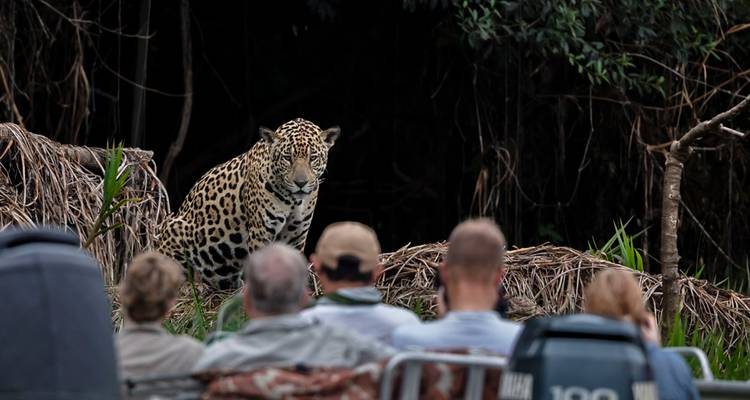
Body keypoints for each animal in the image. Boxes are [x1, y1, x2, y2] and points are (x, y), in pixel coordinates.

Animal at [157, 118, 340, 290]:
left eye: (313, 158)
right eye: (288, 158)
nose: (301, 183)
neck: (294, 200)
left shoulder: (296, 235)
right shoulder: (261, 232)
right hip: (175, 229)